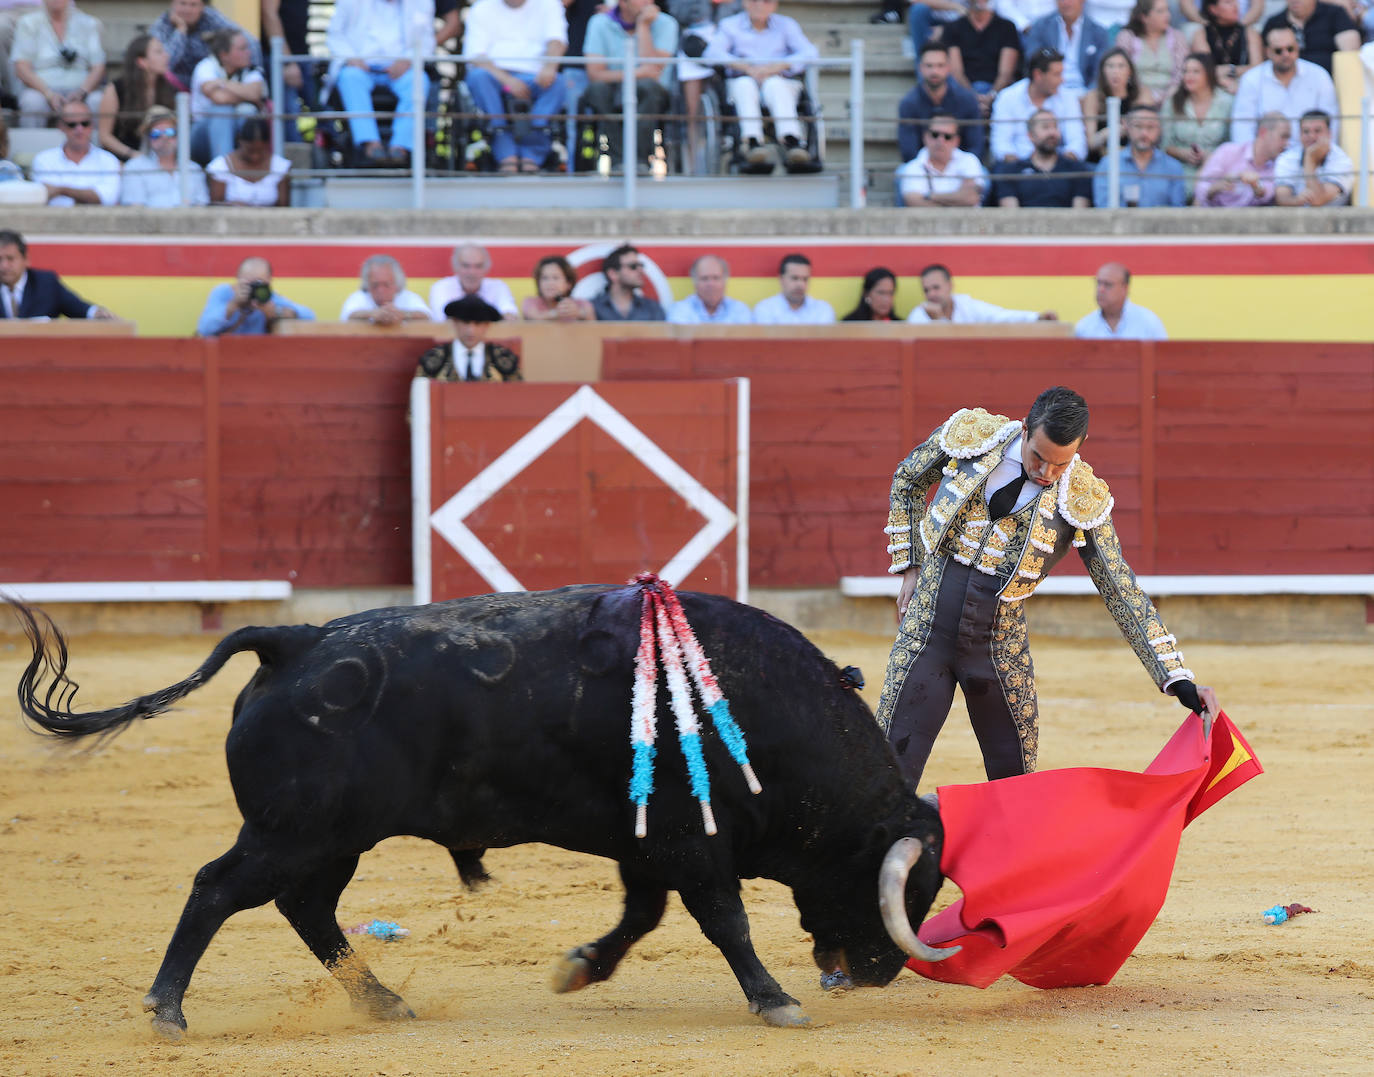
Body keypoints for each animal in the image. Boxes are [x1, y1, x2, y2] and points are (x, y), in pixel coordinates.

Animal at [10, 585, 956, 1038]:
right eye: (901, 888)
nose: (881, 971)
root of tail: (297, 640)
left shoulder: (647, 844)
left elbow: (641, 916)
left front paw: (579, 967)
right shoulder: (692, 840)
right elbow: (724, 920)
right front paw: (775, 999)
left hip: (329, 839)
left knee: (306, 907)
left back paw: (384, 1001)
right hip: (294, 831)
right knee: (218, 888)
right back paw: (168, 1011)